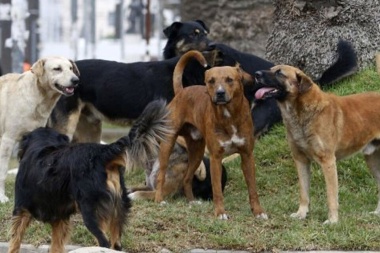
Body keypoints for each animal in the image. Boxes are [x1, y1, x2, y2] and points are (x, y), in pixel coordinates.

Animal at [0, 56, 79, 203]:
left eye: (71, 68)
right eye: (57, 69)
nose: (76, 80)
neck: (36, 96)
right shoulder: (8, 140)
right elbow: (2, 172)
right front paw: (2, 197)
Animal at [8, 100, 170, 252]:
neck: (44, 146)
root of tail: (103, 152)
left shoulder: (20, 210)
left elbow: (15, 242)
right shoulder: (60, 219)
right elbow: (56, 247)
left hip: (92, 212)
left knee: (103, 242)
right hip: (118, 209)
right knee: (116, 245)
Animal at [154, 51, 268, 219]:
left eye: (229, 79)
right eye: (211, 81)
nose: (220, 93)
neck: (229, 116)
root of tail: (182, 91)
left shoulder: (247, 155)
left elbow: (252, 188)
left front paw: (258, 212)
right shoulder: (216, 158)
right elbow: (217, 190)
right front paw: (220, 213)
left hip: (197, 152)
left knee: (187, 178)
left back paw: (192, 201)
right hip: (168, 145)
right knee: (161, 175)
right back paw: (159, 199)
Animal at [252, 64, 380, 223]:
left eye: (279, 73)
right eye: (271, 69)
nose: (256, 74)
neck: (301, 113)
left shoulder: (328, 162)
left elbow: (331, 196)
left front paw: (332, 221)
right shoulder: (301, 160)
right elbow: (304, 193)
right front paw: (301, 213)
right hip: (372, 161)